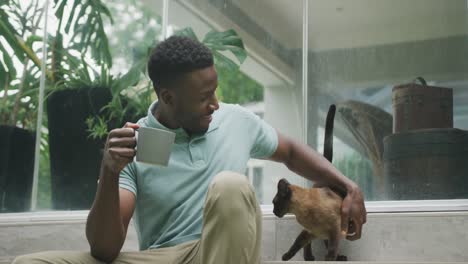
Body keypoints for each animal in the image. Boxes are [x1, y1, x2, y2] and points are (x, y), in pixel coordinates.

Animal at [272, 104, 350, 260]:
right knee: (312, 244)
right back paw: (310, 257)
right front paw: (286, 257)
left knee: (328, 245)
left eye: (275, 203)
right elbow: (297, 243)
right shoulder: (310, 232)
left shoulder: (334, 230)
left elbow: (332, 249)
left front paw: (329, 260)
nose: (273, 212)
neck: (302, 214)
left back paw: (336, 257)